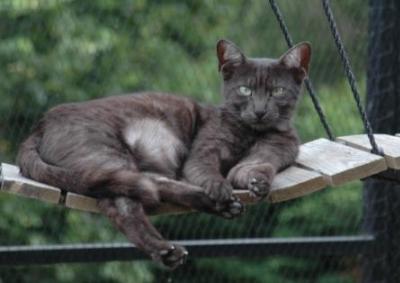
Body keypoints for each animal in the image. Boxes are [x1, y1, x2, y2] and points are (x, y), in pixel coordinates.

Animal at [17, 38, 310, 270]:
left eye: (277, 91)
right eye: (245, 90)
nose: (260, 111)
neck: (251, 133)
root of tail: (39, 125)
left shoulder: (280, 148)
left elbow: (260, 162)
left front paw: (254, 180)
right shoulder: (202, 152)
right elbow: (207, 171)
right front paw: (221, 187)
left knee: (138, 195)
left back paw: (179, 241)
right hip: (107, 153)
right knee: (132, 201)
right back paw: (189, 230)